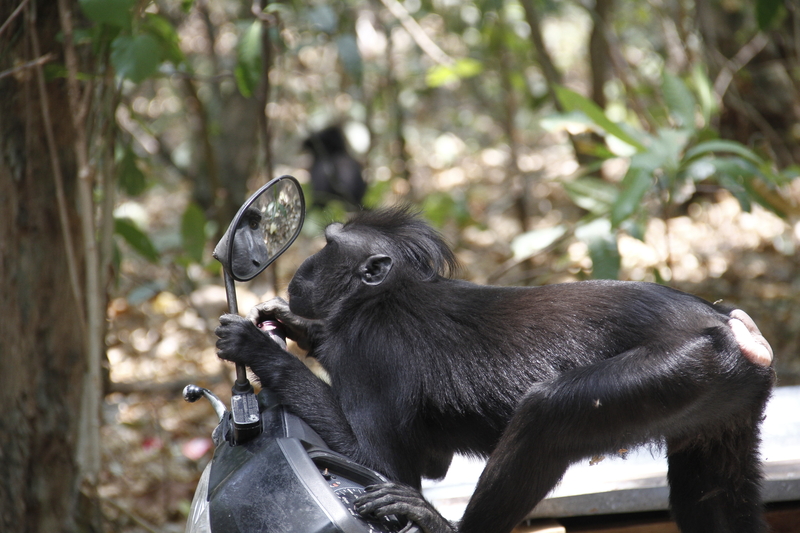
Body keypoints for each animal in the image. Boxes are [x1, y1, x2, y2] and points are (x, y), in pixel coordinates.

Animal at [217, 206, 776, 532]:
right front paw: (289, 324)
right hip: (723, 398)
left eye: (330, 245)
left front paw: (257, 347)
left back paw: (439, 524)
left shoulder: (369, 350)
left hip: (684, 365)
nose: (300, 269)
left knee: (547, 415)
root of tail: (729, 326)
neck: (384, 296)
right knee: (712, 497)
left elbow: (379, 465)